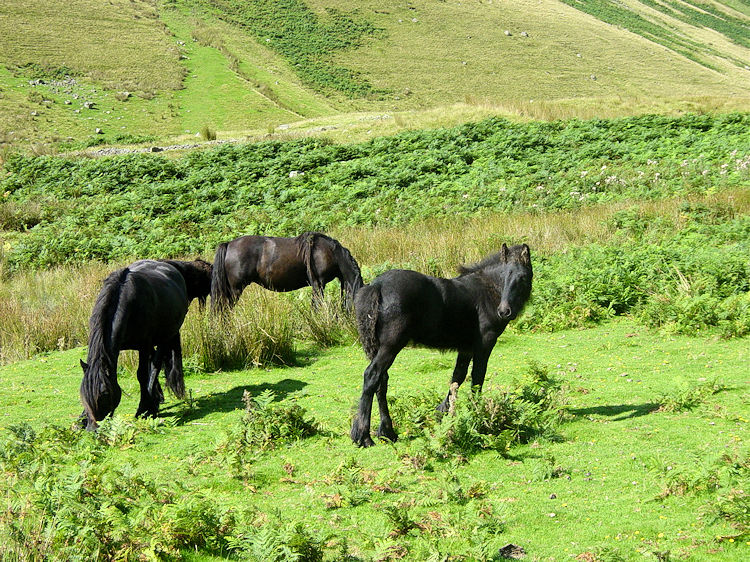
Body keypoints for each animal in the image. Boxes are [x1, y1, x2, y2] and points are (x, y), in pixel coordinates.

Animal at [79, 258, 213, 428]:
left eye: (105, 393)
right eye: (83, 394)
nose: (92, 428)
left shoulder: (143, 346)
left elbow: (142, 374)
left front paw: (144, 409)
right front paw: (81, 418)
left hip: (165, 337)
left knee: (156, 364)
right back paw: (157, 397)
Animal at [352, 243, 536, 444]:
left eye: (522, 277)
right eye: (504, 275)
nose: (504, 311)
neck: (488, 292)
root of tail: (377, 286)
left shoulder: (466, 347)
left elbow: (458, 377)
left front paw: (442, 412)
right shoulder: (484, 344)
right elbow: (477, 378)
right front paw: (478, 415)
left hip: (378, 347)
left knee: (382, 381)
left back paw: (387, 432)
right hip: (391, 345)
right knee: (372, 375)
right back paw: (364, 437)